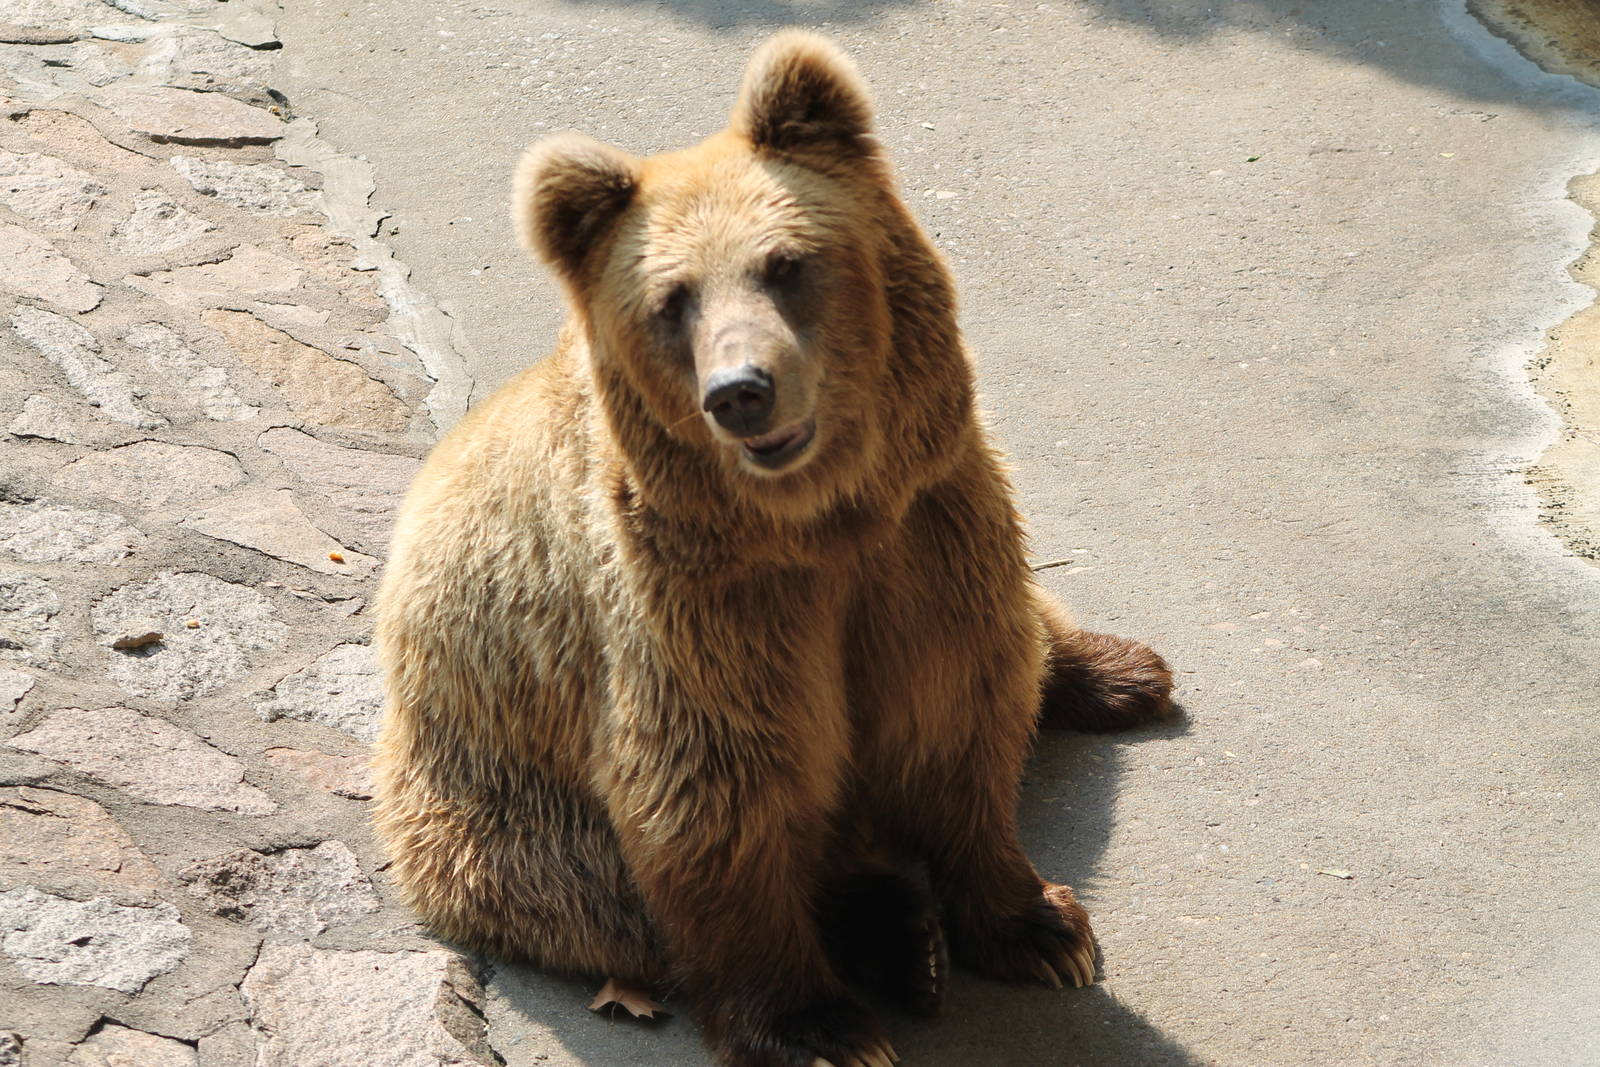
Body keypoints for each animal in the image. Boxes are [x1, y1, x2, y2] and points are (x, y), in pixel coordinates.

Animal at [371, 30, 1174, 1067]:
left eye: (786, 262)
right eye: (671, 300)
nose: (741, 390)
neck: (821, 518)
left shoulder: (926, 535)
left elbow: (964, 702)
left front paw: (1040, 925)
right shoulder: (705, 607)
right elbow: (721, 792)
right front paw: (821, 1026)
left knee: (1031, 633)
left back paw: (1122, 673)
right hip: (497, 811)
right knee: (601, 900)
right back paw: (895, 938)